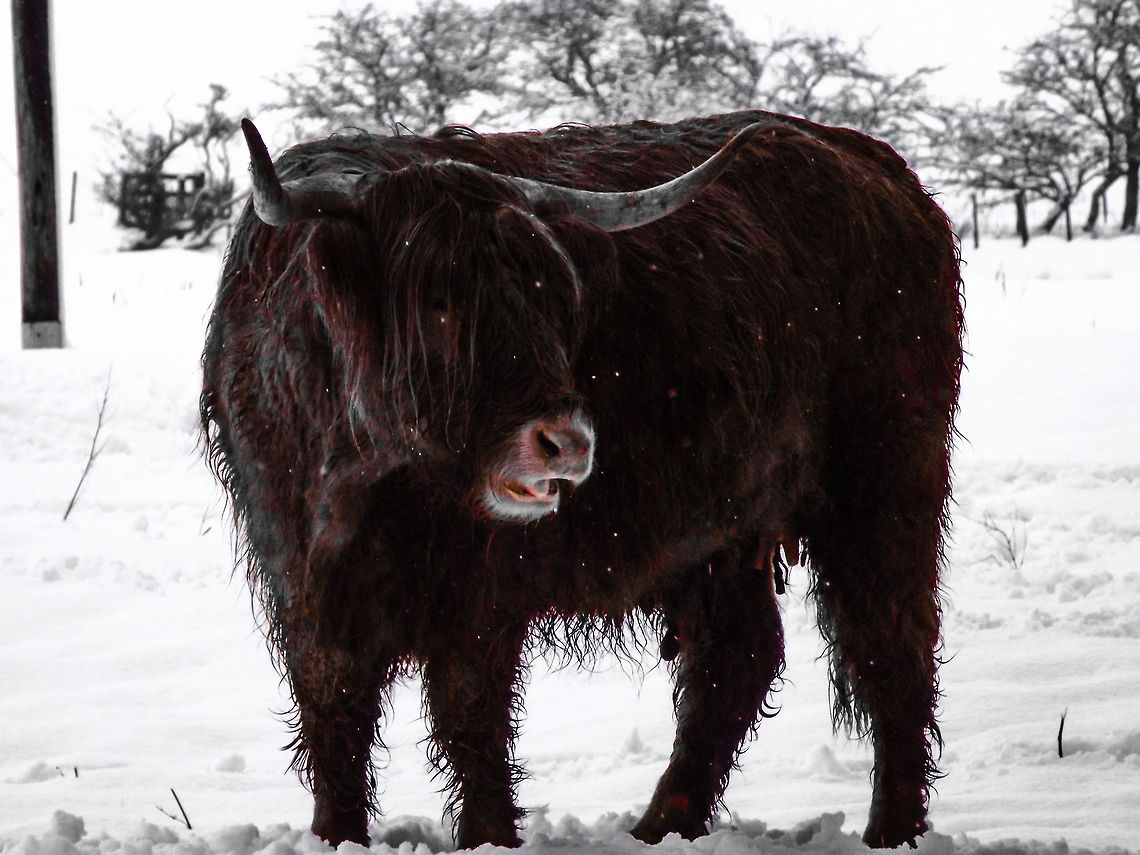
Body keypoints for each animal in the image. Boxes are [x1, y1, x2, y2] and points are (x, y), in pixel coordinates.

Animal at [200, 110, 963, 851]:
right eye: (438, 298)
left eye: (547, 297)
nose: (566, 442)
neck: (364, 489)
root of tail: (870, 161)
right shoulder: (303, 584)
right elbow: (335, 722)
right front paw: (337, 837)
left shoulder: (479, 597)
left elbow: (470, 720)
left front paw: (488, 839)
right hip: (721, 531)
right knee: (734, 660)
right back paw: (660, 829)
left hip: (884, 483)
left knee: (890, 646)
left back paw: (888, 833)